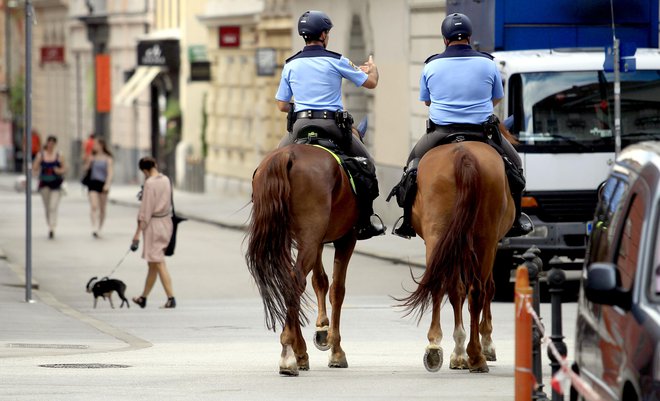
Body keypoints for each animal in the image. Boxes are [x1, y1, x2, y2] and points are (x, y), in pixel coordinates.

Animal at [246, 143, 358, 376]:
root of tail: (287, 155)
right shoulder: (346, 238)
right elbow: (337, 289)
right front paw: (335, 349)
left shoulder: (317, 241)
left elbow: (320, 281)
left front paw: (322, 330)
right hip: (311, 235)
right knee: (295, 280)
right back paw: (289, 352)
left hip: (291, 238)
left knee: (290, 281)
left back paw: (295, 351)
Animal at [400, 134, 520, 372]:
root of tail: (463, 154)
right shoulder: (491, 245)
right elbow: (485, 288)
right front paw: (483, 344)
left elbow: (457, 290)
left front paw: (458, 351)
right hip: (483, 240)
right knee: (477, 290)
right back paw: (475, 355)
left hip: (438, 236)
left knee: (442, 285)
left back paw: (437, 348)